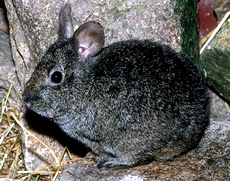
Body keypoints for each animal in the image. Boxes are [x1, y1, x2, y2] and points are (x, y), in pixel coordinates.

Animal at [23, 3, 210, 168]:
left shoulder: (95, 138)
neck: (86, 85)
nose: (26, 98)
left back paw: (112, 163)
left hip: (129, 141)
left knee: (140, 158)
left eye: (56, 77)